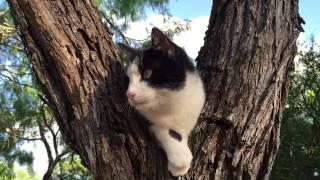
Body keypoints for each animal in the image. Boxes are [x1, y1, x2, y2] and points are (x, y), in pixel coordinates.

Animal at [118, 27, 205, 176]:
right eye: (128, 81)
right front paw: (180, 158)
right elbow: (165, 130)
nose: (129, 94)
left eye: (147, 73)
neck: (172, 101)